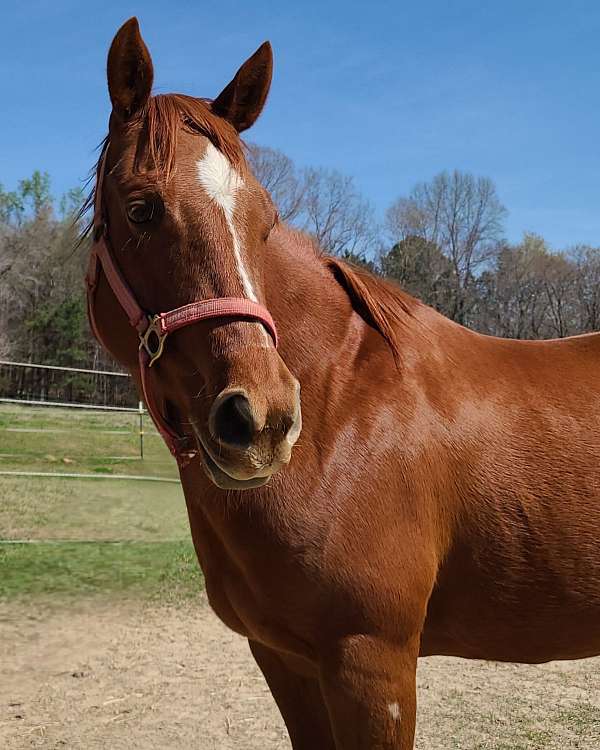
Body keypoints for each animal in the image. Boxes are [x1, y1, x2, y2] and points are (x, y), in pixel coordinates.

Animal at [85, 17, 600, 749]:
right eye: (140, 210)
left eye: (264, 222)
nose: (263, 420)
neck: (344, 416)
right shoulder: (283, 658)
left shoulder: (371, 664)